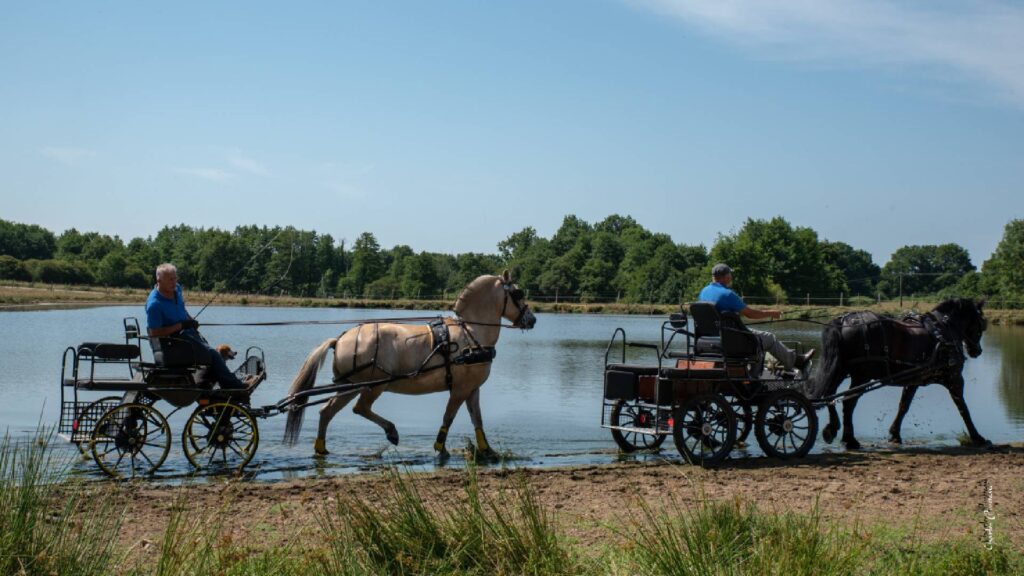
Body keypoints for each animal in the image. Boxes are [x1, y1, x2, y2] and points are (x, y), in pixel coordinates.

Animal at [280, 270, 536, 455]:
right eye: (518, 293)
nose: (532, 319)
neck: (471, 333)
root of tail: (340, 339)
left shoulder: (472, 389)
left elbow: (477, 420)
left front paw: (487, 450)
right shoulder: (460, 388)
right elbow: (449, 416)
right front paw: (440, 448)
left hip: (348, 386)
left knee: (326, 411)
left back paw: (321, 448)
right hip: (372, 386)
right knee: (359, 408)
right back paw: (391, 431)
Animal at [811, 295, 987, 448]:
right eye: (981, 324)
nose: (977, 351)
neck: (943, 331)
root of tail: (843, 321)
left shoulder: (914, 380)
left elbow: (904, 406)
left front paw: (894, 434)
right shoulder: (954, 378)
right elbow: (963, 407)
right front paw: (977, 437)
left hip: (840, 369)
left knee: (830, 395)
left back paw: (832, 429)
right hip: (861, 376)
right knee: (848, 402)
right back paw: (849, 439)